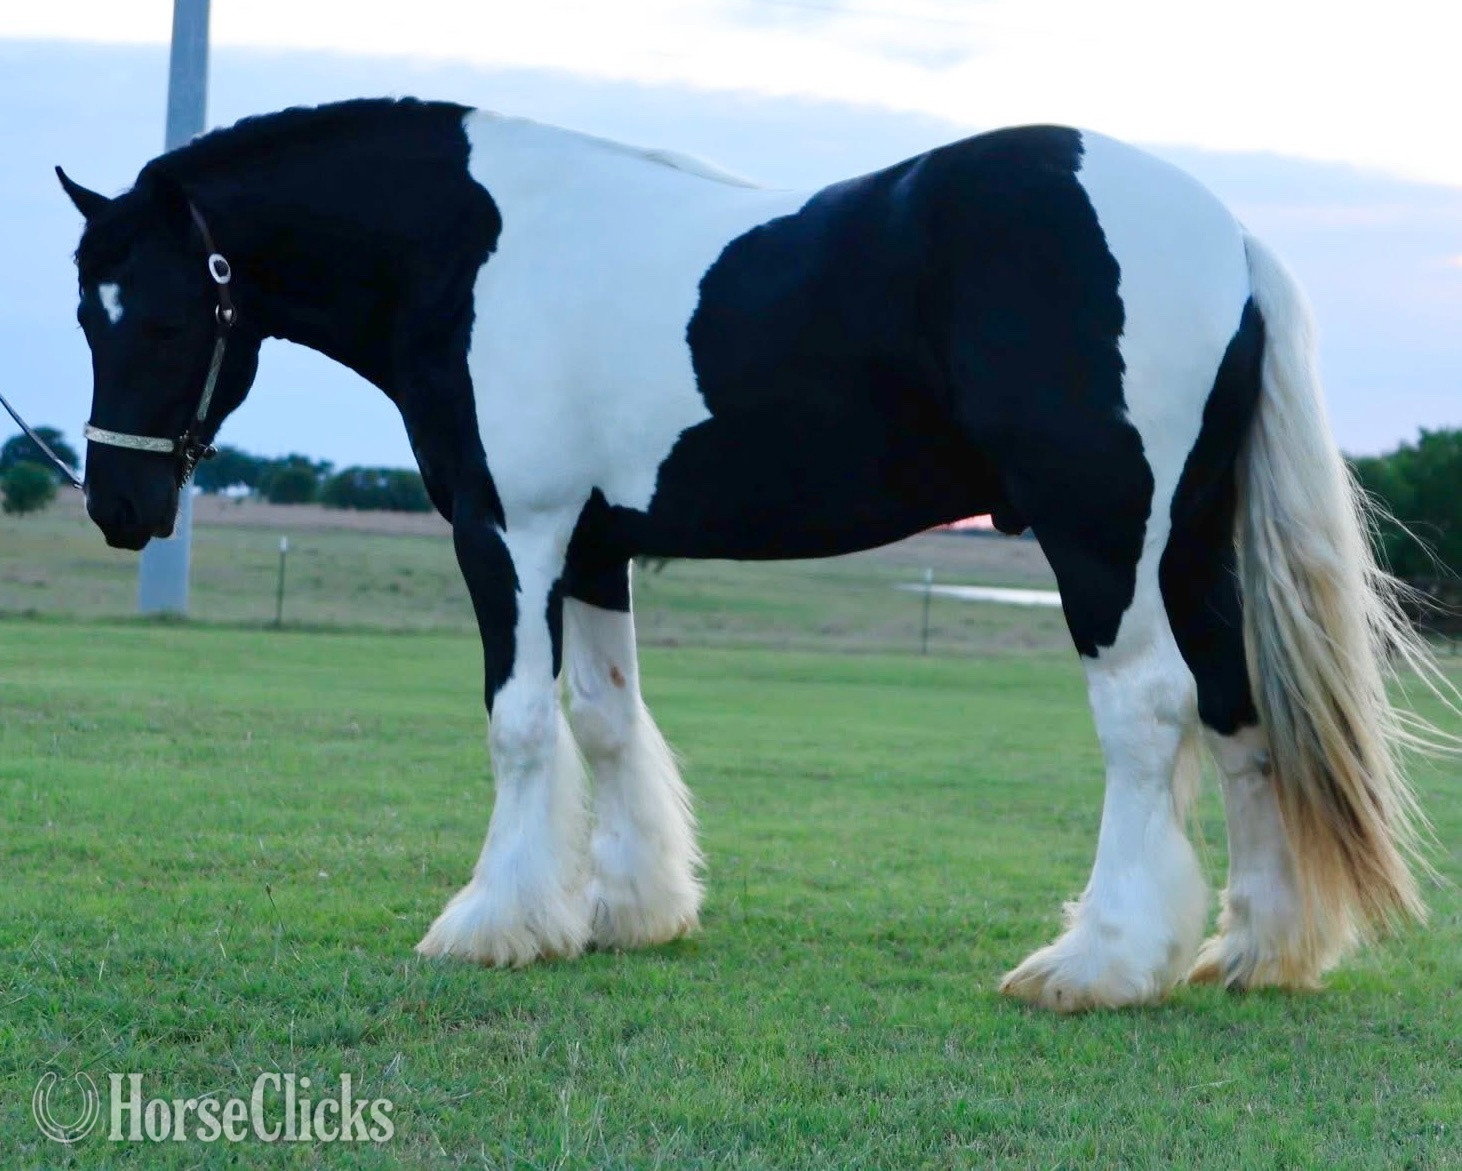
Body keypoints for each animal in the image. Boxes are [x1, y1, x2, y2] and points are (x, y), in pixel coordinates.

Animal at [57, 98, 1443, 1011]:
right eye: (83, 309)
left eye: (164, 312)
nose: (120, 505)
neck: (474, 253)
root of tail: (1228, 239)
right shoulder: (594, 546)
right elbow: (605, 718)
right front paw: (625, 911)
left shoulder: (509, 530)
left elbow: (520, 723)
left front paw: (491, 920)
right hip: (1191, 546)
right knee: (1237, 713)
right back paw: (1254, 952)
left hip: (1102, 539)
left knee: (1149, 711)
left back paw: (1098, 962)